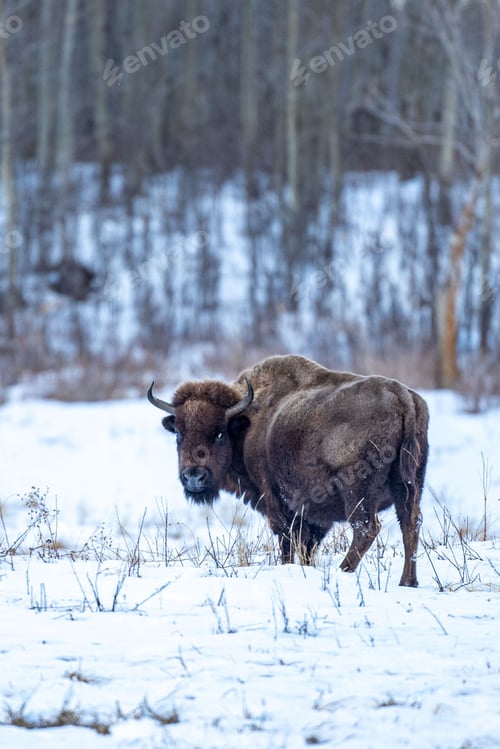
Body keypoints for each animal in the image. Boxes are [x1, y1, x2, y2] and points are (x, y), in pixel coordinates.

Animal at [148, 355, 429, 586]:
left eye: (219, 433)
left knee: (366, 528)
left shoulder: (278, 502)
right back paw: (408, 582)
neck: (247, 425)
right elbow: (306, 546)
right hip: (410, 487)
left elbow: (287, 541)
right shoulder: (312, 515)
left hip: (357, 494)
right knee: (410, 524)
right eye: (179, 434)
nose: (193, 476)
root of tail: (403, 397)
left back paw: (343, 571)